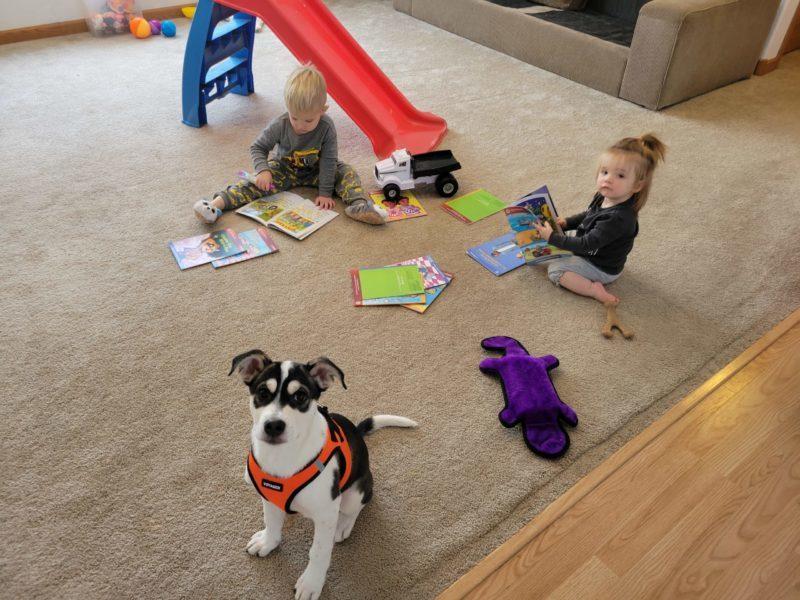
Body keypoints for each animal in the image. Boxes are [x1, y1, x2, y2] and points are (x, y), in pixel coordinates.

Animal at [230, 352, 418, 600]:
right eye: (262, 393)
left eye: (301, 396)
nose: (274, 426)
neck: (282, 455)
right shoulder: (268, 496)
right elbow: (271, 521)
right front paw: (268, 542)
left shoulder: (326, 512)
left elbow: (318, 552)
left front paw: (311, 583)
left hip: (354, 494)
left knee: (357, 506)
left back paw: (344, 525)